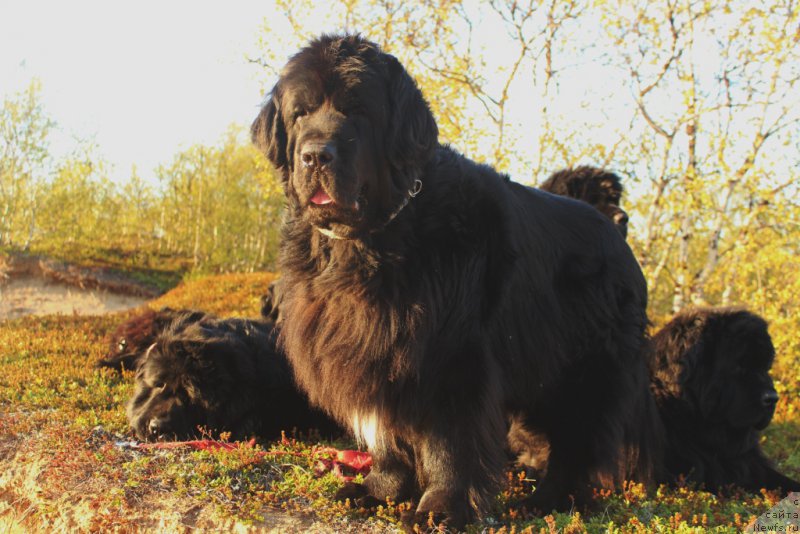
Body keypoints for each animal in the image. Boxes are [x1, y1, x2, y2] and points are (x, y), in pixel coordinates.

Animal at [253, 34, 660, 532]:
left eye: (358, 112)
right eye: (300, 113)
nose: (314, 154)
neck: (368, 242)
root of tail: (615, 233)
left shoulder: (450, 353)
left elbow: (450, 441)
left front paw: (440, 508)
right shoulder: (375, 351)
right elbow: (387, 437)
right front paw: (378, 491)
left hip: (587, 367)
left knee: (579, 439)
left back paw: (551, 499)